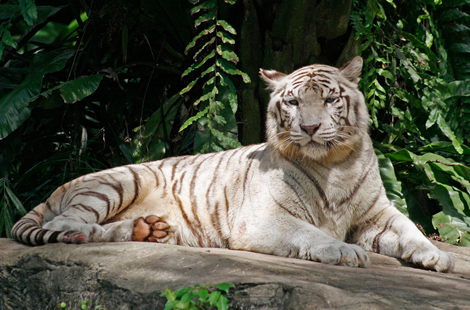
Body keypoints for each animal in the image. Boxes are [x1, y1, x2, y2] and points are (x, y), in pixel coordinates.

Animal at [11, 57, 454, 272]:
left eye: (329, 99)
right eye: (294, 102)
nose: (310, 128)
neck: (334, 163)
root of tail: (52, 192)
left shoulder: (377, 214)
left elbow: (411, 230)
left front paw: (437, 256)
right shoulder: (264, 218)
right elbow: (311, 233)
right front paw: (344, 252)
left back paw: (148, 230)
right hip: (121, 179)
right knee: (66, 224)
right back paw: (90, 234)